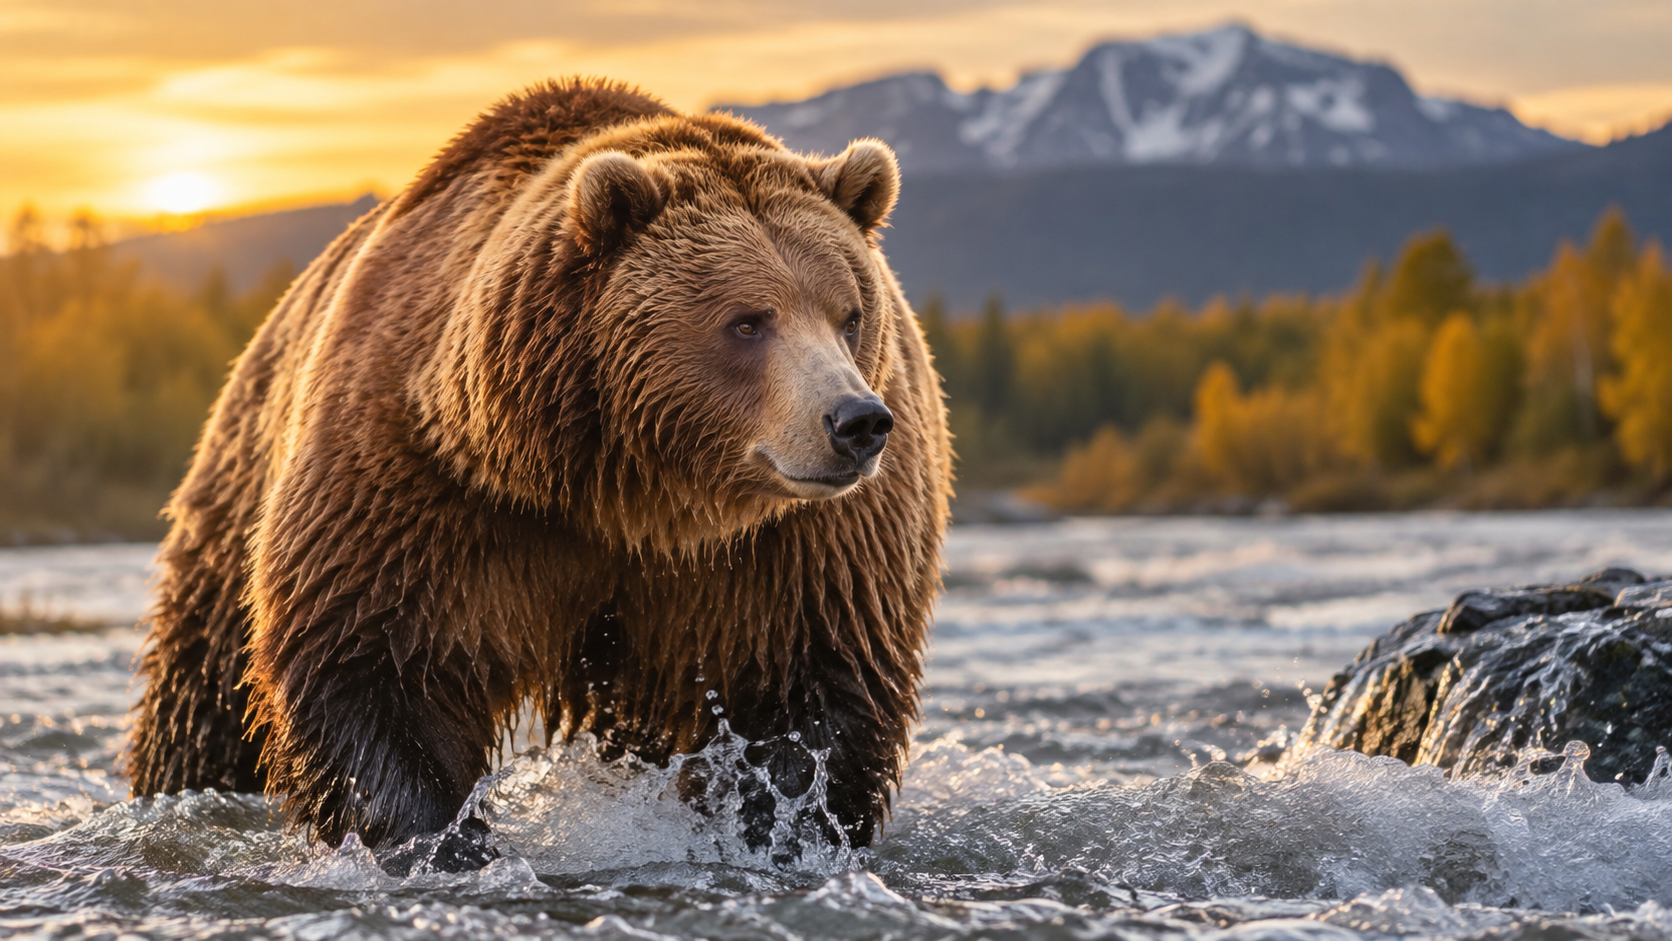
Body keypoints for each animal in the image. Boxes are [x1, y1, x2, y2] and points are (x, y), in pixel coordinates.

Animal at [125, 79, 952, 861]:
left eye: (849, 313)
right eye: (748, 321)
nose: (855, 421)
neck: (633, 494)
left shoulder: (800, 547)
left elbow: (817, 682)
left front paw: (773, 828)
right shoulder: (426, 482)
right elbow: (373, 658)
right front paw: (441, 841)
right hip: (237, 492)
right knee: (203, 697)